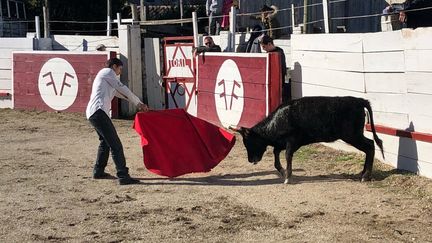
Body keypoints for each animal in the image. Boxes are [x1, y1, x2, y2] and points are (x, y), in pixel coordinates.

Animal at [231, 96, 386, 183]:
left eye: (249, 142)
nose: (251, 160)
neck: (277, 121)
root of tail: (360, 101)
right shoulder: (282, 143)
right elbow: (276, 155)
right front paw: (283, 172)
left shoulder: (291, 141)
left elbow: (287, 156)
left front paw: (288, 177)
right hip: (353, 135)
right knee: (370, 146)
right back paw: (363, 174)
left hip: (352, 135)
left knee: (370, 146)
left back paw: (366, 175)